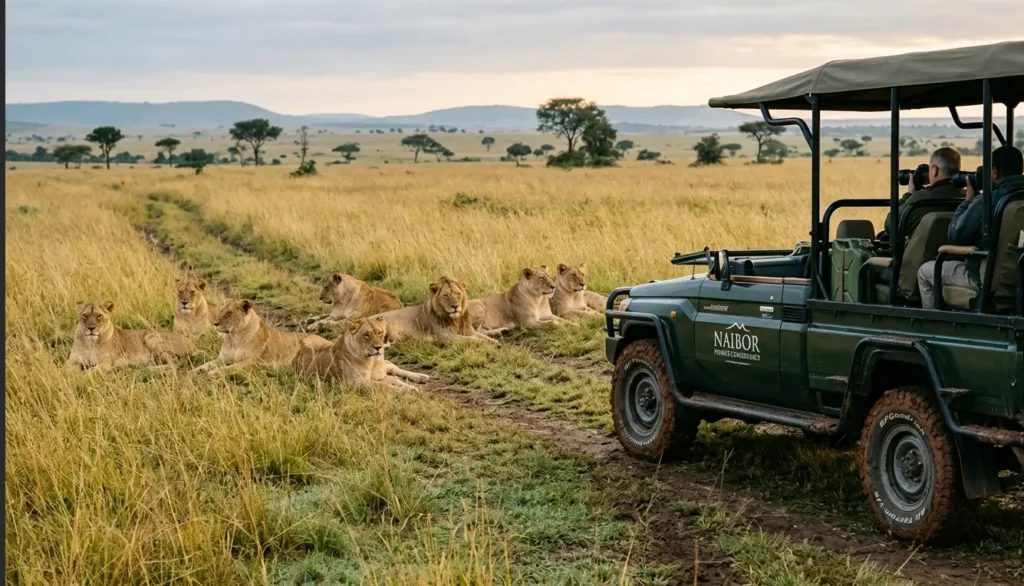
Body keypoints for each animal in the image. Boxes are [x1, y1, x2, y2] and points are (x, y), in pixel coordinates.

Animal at [293, 315, 428, 390]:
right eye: (366, 335)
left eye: (379, 332)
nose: (378, 347)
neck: (373, 361)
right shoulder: (357, 383)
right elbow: (384, 386)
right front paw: (405, 390)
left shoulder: (379, 376)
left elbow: (393, 381)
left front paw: (410, 388)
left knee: (393, 367)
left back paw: (422, 376)